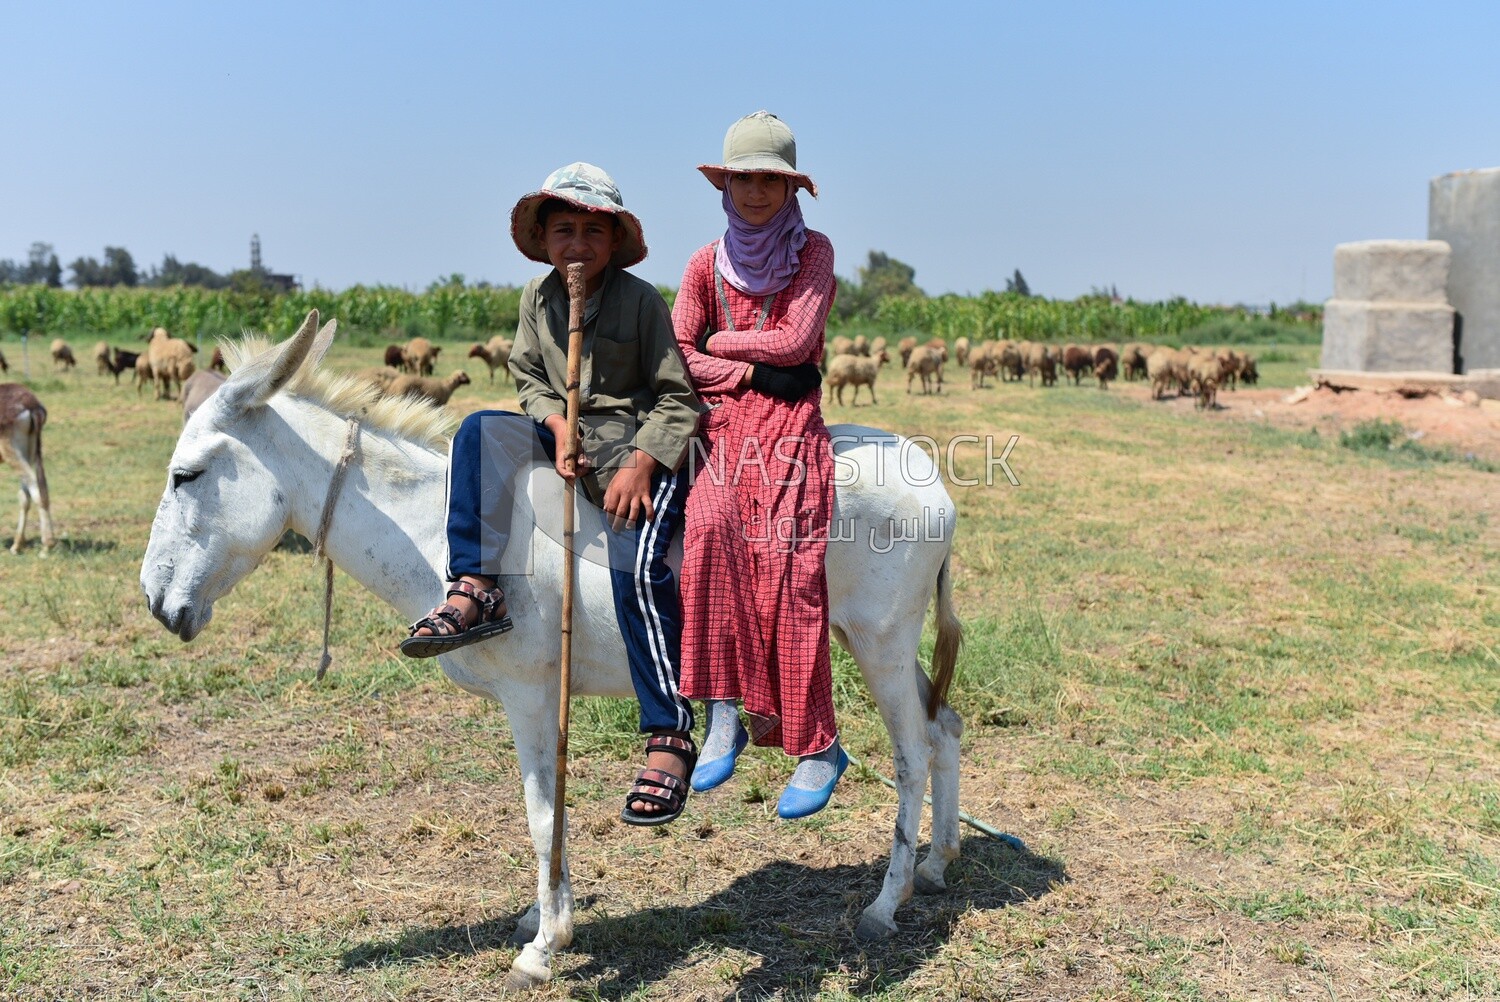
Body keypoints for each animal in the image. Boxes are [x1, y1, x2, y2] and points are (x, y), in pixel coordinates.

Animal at [0, 384, 54, 555]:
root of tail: (32, 406)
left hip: (11, 451)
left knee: (35, 489)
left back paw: (47, 545)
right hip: (28, 452)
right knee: (27, 493)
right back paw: (17, 546)